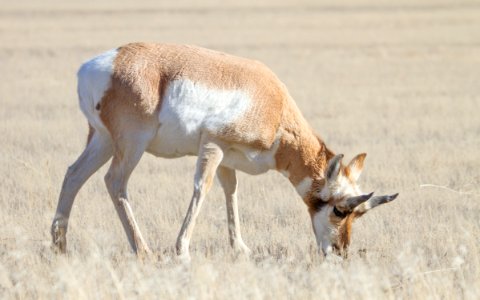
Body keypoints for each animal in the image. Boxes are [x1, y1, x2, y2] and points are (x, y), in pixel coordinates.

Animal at [50, 42, 400, 260]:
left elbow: (231, 193)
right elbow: (201, 189)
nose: (340, 253)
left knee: (73, 175)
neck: (273, 104)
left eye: (359, 213)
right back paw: (144, 251)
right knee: (114, 182)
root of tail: (99, 65)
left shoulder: (229, 160)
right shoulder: (213, 145)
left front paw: (240, 248)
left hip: (102, 140)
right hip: (131, 144)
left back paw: (59, 247)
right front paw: (182, 251)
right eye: (340, 210)